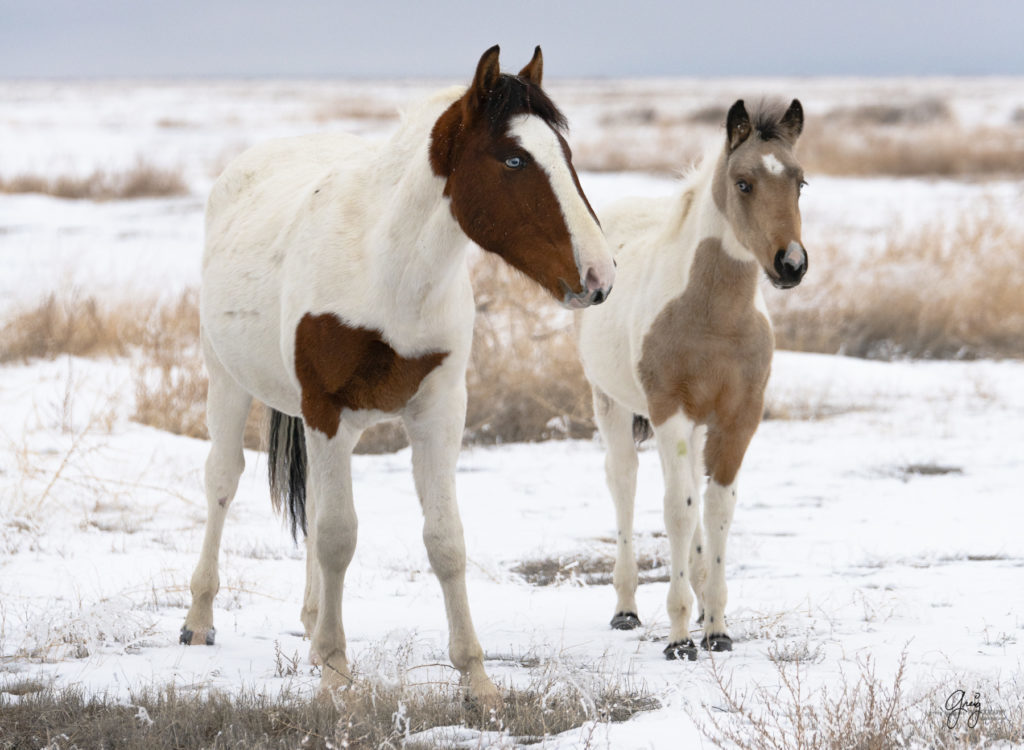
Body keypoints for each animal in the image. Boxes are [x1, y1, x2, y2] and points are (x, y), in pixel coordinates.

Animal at [182, 48, 614, 704]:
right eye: (514, 159)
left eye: (564, 154)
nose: (600, 277)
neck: (384, 266)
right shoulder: (326, 410)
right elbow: (337, 536)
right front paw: (337, 675)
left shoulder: (437, 412)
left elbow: (444, 541)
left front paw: (477, 678)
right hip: (229, 384)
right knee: (223, 484)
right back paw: (201, 619)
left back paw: (312, 623)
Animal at [577, 99, 806, 663]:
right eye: (743, 182)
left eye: (800, 182)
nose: (791, 264)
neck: (714, 317)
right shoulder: (670, 412)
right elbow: (677, 512)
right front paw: (680, 639)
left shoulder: (738, 417)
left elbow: (717, 507)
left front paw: (716, 627)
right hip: (612, 405)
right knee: (625, 483)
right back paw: (626, 610)